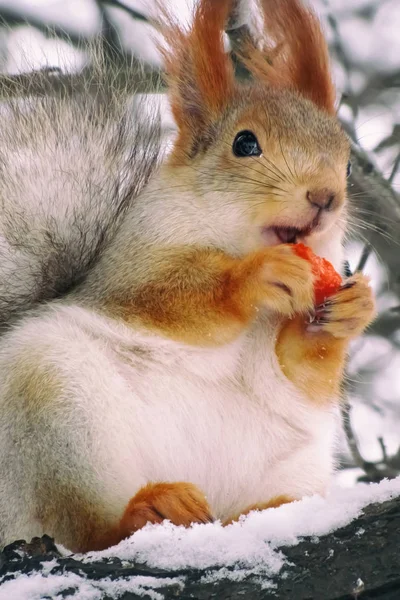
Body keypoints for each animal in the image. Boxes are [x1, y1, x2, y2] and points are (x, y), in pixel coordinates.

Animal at [0, 0, 376, 552]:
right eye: (245, 144)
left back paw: (269, 509)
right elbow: (170, 300)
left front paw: (352, 309)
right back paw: (148, 508)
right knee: (88, 526)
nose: (325, 196)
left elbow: (297, 368)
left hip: (295, 461)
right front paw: (254, 277)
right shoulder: (132, 269)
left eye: (348, 163)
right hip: (53, 411)